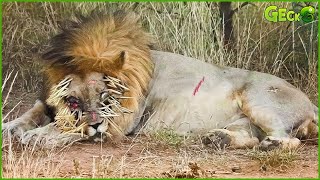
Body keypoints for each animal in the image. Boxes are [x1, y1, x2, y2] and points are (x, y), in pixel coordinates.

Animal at [1, 10, 318, 150]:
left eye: (105, 95)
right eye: (73, 99)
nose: (97, 122)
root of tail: (311, 103)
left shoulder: (123, 119)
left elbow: (69, 127)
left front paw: (40, 135)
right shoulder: (47, 101)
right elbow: (32, 112)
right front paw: (12, 127)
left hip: (258, 100)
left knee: (289, 139)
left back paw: (271, 145)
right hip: (243, 121)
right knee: (251, 136)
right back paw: (217, 138)